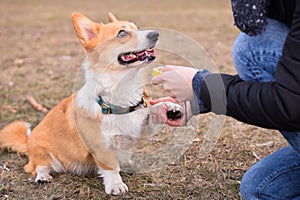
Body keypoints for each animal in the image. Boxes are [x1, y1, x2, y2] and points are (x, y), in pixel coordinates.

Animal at [0, 12, 183, 195]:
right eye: (122, 33)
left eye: (137, 27)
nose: (156, 34)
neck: (123, 89)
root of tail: (27, 142)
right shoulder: (102, 147)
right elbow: (111, 167)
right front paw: (115, 185)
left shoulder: (138, 127)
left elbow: (151, 112)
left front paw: (169, 108)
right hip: (43, 153)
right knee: (37, 167)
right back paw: (43, 176)